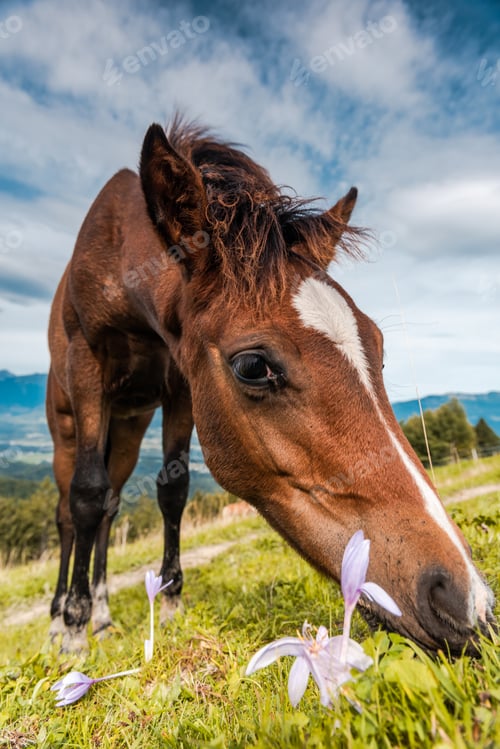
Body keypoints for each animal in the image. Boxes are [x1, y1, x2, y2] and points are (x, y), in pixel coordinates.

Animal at [46, 116, 495, 654]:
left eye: (379, 345)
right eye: (253, 366)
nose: (465, 600)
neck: (119, 256)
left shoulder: (181, 389)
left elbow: (171, 490)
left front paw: (170, 604)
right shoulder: (87, 364)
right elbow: (86, 497)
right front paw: (72, 632)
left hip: (130, 427)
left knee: (112, 507)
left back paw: (103, 613)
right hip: (68, 425)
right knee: (72, 512)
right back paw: (64, 616)